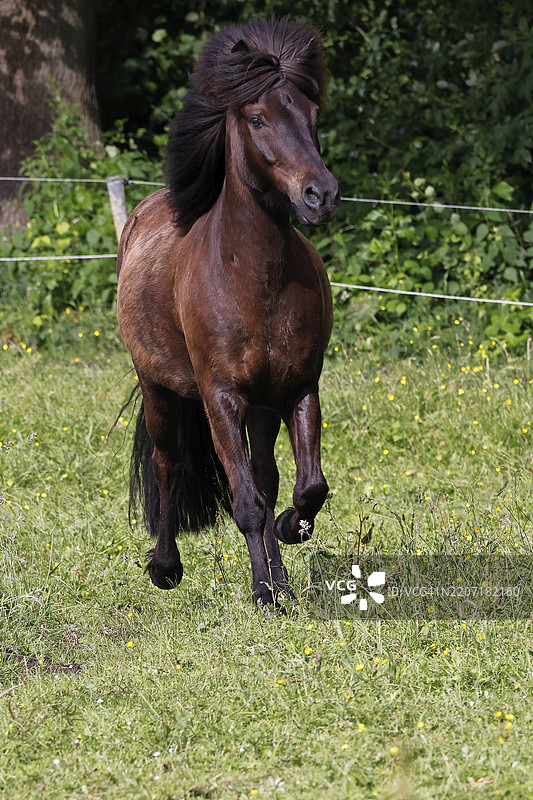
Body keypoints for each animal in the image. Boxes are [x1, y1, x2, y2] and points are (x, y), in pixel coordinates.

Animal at [116, 18, 339, 608]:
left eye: (312, 115)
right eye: (257, 118)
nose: (321, 195)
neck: (255, 283)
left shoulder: (298, 387)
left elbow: (306, 487)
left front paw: (288, 538)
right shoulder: (220, 398)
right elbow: (245, 504)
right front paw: (264, 595)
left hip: (260, 407)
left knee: (266, 476)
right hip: (158, 387)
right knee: (169, 465)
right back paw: (165, 567)